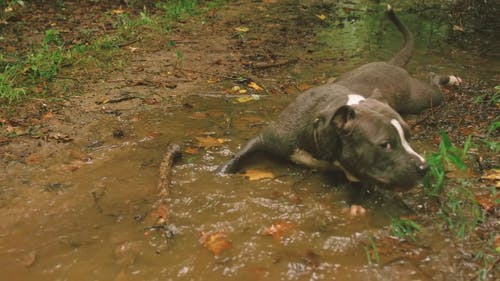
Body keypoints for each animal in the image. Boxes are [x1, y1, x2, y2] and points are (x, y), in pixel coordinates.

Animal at [219, 5, 460, 191]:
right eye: (386, 145)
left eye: (409, 137)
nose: (424, 167)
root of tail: (391, 64)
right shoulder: (265, 138)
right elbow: (237, 157)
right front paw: (221, 173)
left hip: (422, 98)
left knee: (433, 80)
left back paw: (452, 78)